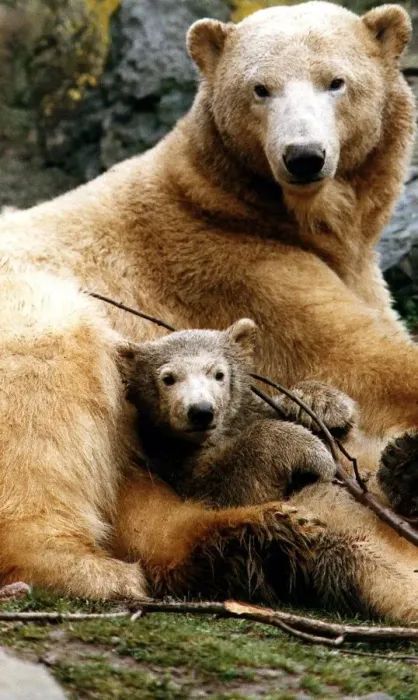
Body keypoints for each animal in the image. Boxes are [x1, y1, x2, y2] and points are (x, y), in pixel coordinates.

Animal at [119, 318, 355, 508]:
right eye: (168, 379)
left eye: (219, 374)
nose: (201, 411)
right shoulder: (171, 460)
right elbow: (227, 486)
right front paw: (307, 449)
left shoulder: (248, 411)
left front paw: (324, 405)